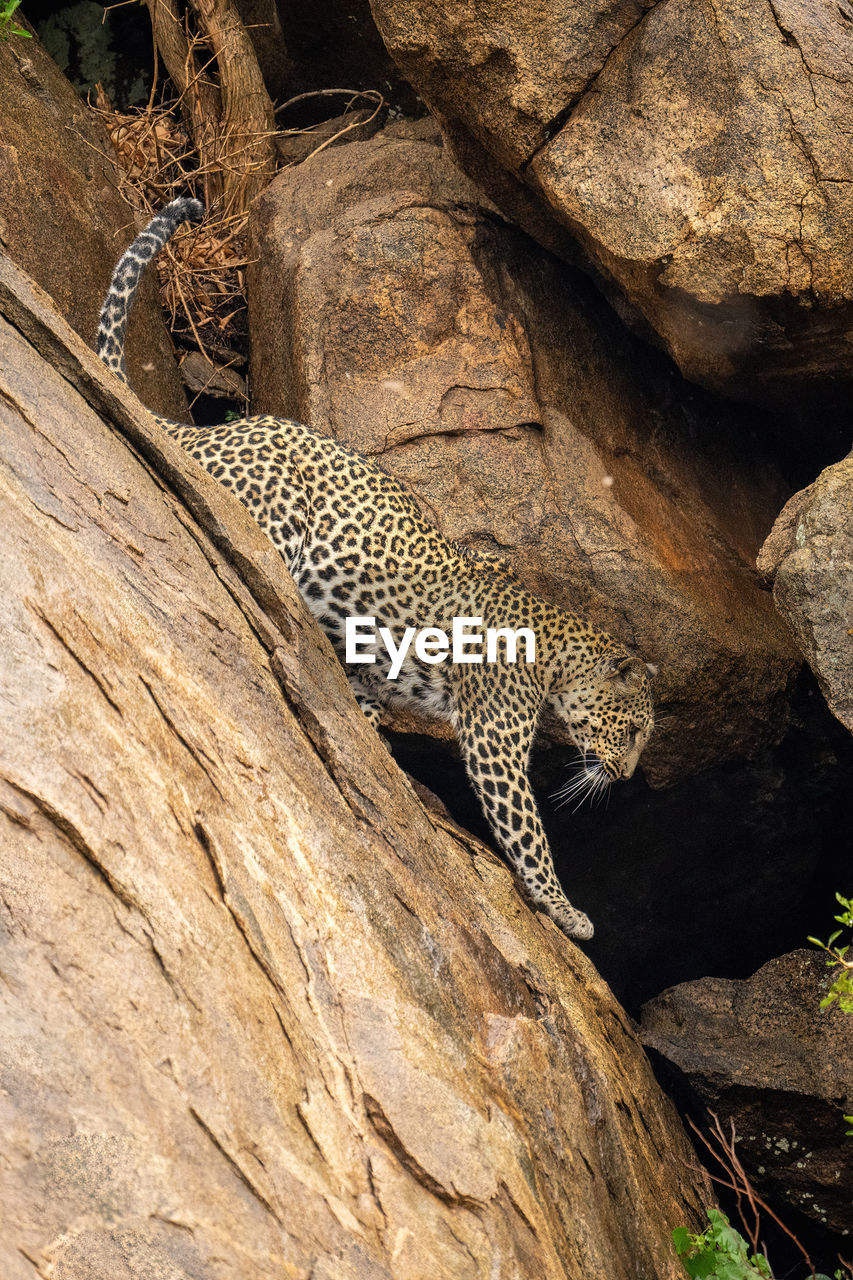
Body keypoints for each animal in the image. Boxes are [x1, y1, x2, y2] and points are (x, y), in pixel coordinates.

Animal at [96, 199, 653, 942]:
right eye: (632, 732)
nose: (623, 777)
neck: (557, 655)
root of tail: (206, 429)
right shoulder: (494, 737)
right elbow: (526, 831)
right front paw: (564, 909)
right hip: (279, 501)